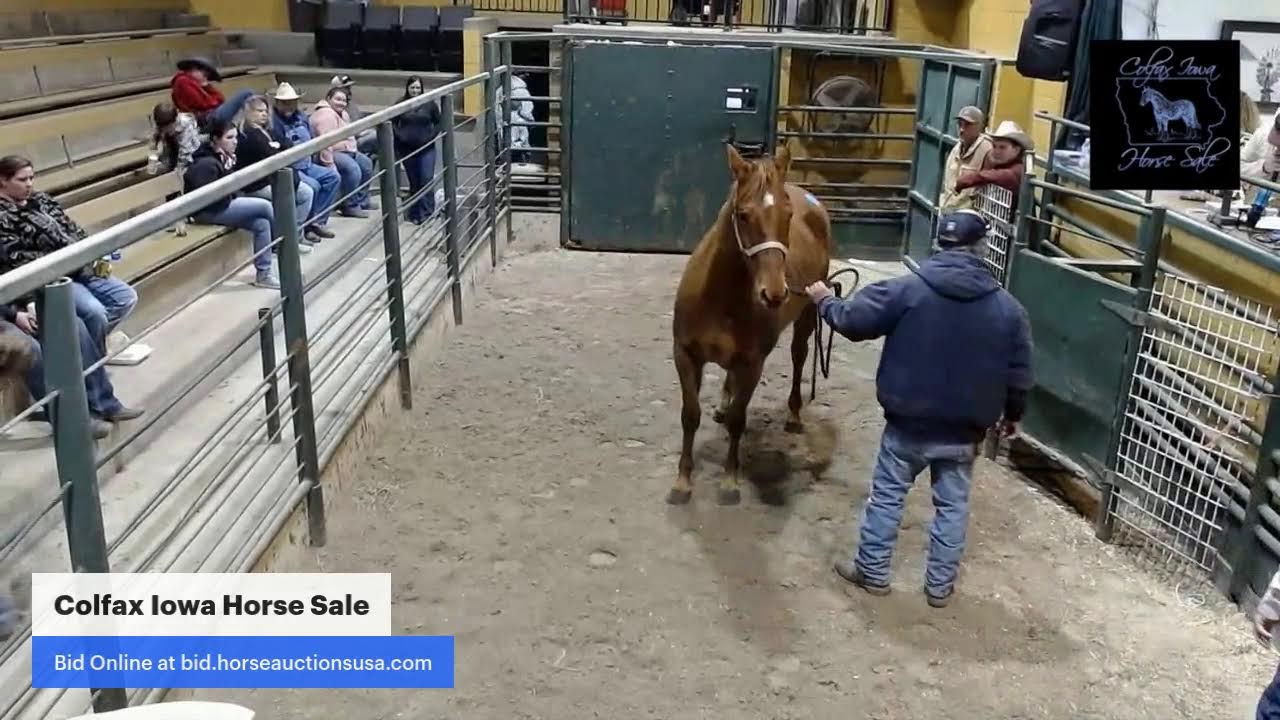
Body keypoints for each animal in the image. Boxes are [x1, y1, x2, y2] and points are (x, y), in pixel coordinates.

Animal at [667, 143, 833, 506]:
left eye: (788, 215)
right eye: (743, 214)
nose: (774, 293)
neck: (720, 298)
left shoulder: (753, 363)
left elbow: (737, 421)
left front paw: (729, 482)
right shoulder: (685, 355)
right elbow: (690, 415)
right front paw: (682, 483)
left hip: (806, 319)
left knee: (799, 357)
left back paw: (793, 415)